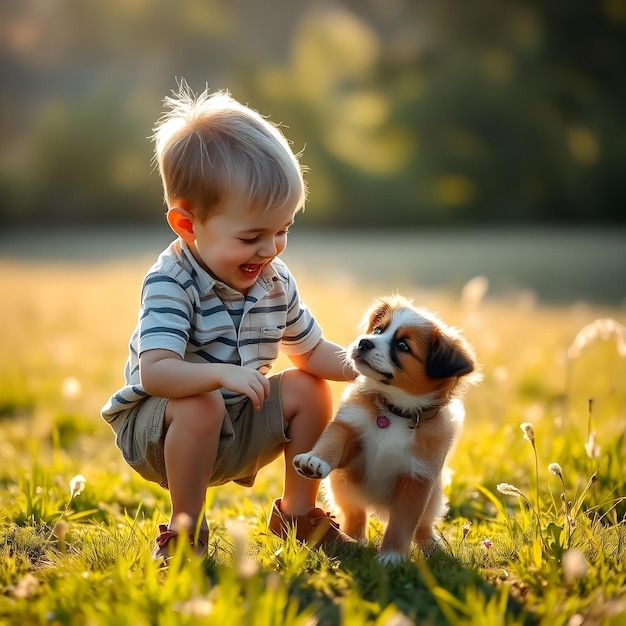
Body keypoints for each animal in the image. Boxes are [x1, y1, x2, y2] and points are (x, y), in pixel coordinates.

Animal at [292, 294, 478, 564]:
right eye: (378, 330)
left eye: (402, 345)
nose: (364, 342)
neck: (395, 412)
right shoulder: (351, 433)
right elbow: (333, 441)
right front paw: (314, 460)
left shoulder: (417, 479)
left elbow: (402, 524)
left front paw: (392, 556)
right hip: (344, 488)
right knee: (355, 514)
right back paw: (353, 539)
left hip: (433, 496)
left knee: (423, 526)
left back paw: (431, 547)